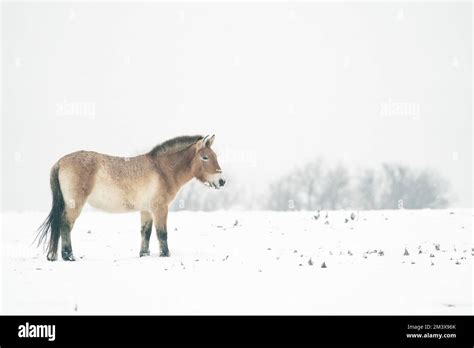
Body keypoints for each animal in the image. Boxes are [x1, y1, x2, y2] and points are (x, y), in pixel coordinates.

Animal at [35, 135, 224, 260]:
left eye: (215, 156)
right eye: (205, 157)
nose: (221, 181)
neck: (162, 170)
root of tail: (60, 162)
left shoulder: (146, 210)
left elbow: (146, 233)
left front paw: (144, 255)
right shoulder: (160, 209)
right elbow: (162, 234)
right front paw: (166, 255)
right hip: (75, 205)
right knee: (65, 225)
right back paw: (69, 256)